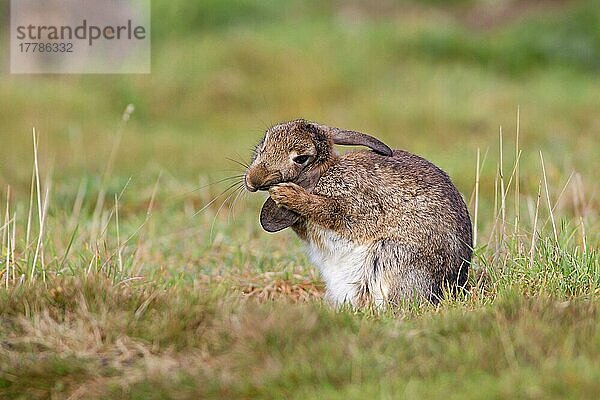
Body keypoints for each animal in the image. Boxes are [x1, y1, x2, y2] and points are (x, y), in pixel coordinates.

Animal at [244, 119, 474, 306]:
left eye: (301, 158)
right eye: (263, 145)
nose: (253, 180)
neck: (323, 173)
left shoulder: (359, 205)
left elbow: (333, 211)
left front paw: (286, 194)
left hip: (392, 258)